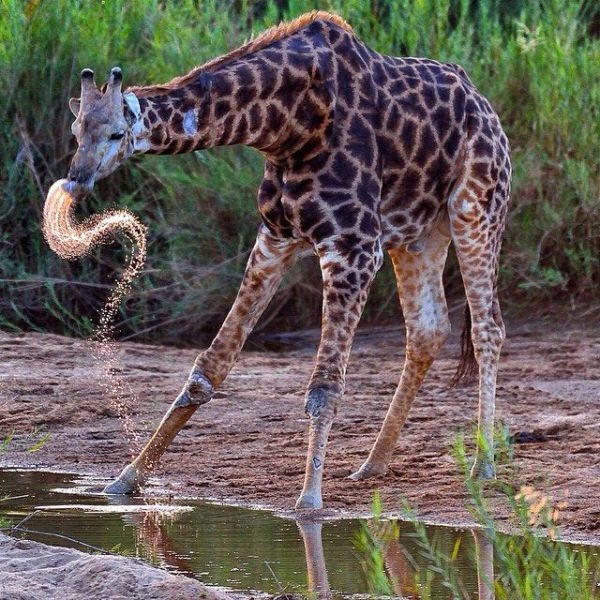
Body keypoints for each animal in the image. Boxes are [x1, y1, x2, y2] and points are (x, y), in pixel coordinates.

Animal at [67, 11, 510, 508]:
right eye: (76, 131)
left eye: (116, 133)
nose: (77, 178)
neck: (286, 129)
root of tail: (485, 105)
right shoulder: (275, 238)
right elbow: (208, 370)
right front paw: (123, 481)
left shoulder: (354, 245)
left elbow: (324, 387)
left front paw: (309, 503)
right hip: (418, 235)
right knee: (428, 331)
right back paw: (372, 464)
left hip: (476, 209)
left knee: (488, 327)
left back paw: (483, 464)